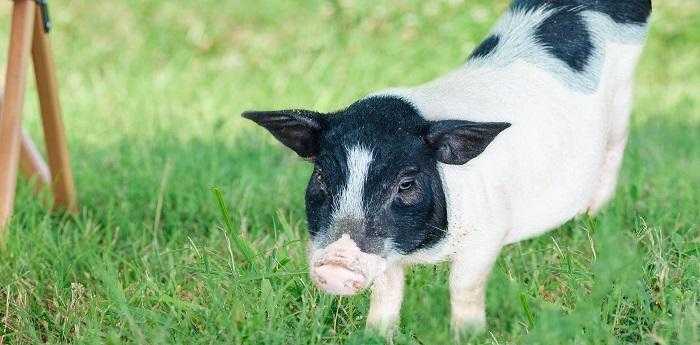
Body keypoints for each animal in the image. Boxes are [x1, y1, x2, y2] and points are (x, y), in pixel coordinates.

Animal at [241, 0, 652, 336]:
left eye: (406, 183)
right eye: (322, 177)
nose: (336, 265)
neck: (425, 250)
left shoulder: (487, 233)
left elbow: (463, 287)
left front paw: (468, 334)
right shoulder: (387, 254)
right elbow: (388, 292)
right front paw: (375, 334)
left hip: (622, 102)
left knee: (615, 150)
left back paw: (592, 217)